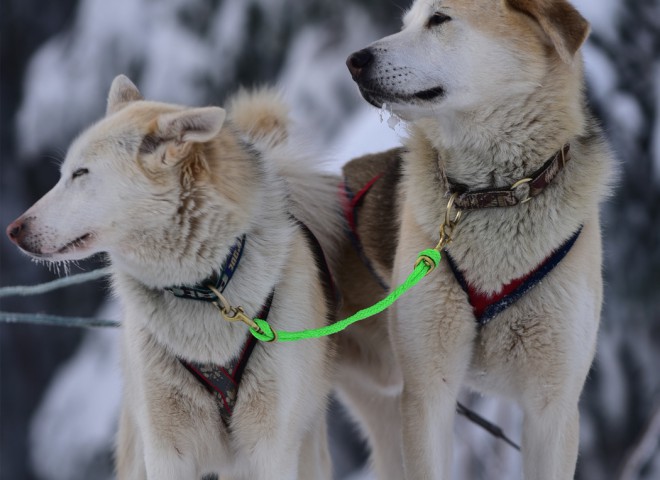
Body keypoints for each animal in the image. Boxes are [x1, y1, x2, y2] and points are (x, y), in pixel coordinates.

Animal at [6, 75, 340, 480]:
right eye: (63, 174)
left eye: (80, 173)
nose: (13, 230)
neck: (202, 288)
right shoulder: (166, 450)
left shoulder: (270, 448)